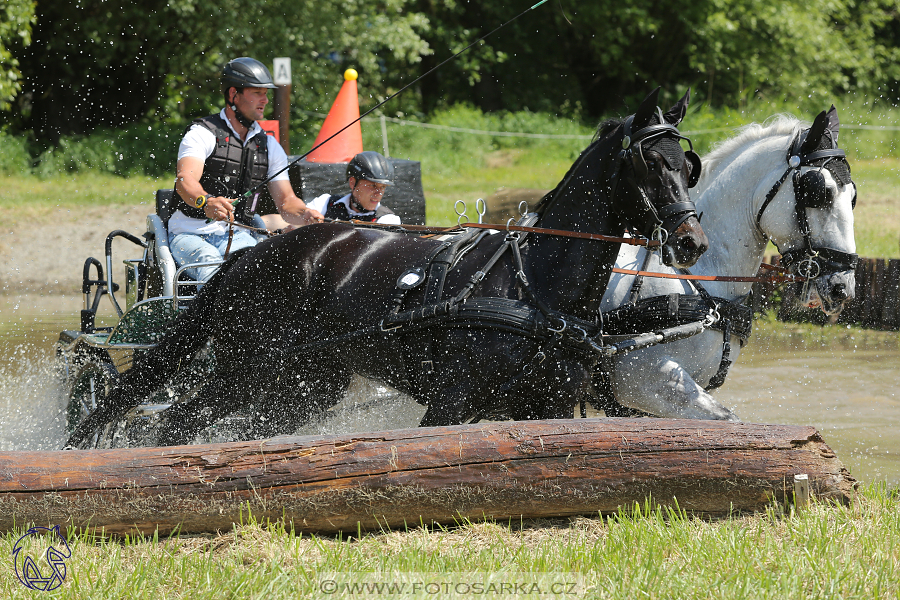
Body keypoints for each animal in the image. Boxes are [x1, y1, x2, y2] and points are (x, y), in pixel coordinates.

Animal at [65, 86, 712, 448]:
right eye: (652, 163)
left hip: (298, 387)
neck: (532, 287)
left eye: (689, 164)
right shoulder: (451, 401)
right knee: (171, 424)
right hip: (244, 370)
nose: (691, 242)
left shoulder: (550, 406)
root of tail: (249, 256)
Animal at [596, 106, 856, 418]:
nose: (843, 287)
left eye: (853, 196)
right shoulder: (646, 381)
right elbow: (728, 418)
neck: (694, 276)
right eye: (819, 191)